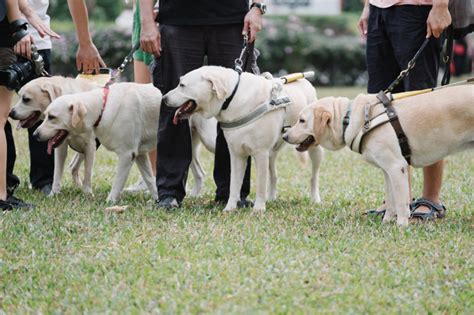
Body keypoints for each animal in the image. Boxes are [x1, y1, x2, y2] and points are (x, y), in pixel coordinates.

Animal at [33, 82, 162, 204]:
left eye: (52, 117)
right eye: (46, 116)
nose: (35, 135)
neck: (102, 108)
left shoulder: (127, 154)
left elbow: (117, 183)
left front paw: (110, 201)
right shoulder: (139, 154)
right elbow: (150, 179)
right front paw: (157, 200)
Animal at [162, 65, 322, 214]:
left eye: (182, 85)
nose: (164, 99)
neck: (233, 98)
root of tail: (304, 80)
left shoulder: (260, 153)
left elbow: (260, 184)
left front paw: (259, 209)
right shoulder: (236, 154)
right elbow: (234, 184)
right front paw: (230, 208)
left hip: (314, 149)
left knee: (313, 177)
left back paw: (315, 199)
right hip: (270, 153)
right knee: (274, 176)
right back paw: (271, 198)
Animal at [284, 85, 472, 226]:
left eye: (302, 120)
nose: (284, 136)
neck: (350, 119)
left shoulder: (397, 167)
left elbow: (401, 203)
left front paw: (401, 226)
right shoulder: (387, 170)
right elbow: (390, 200)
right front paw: (386, 222)